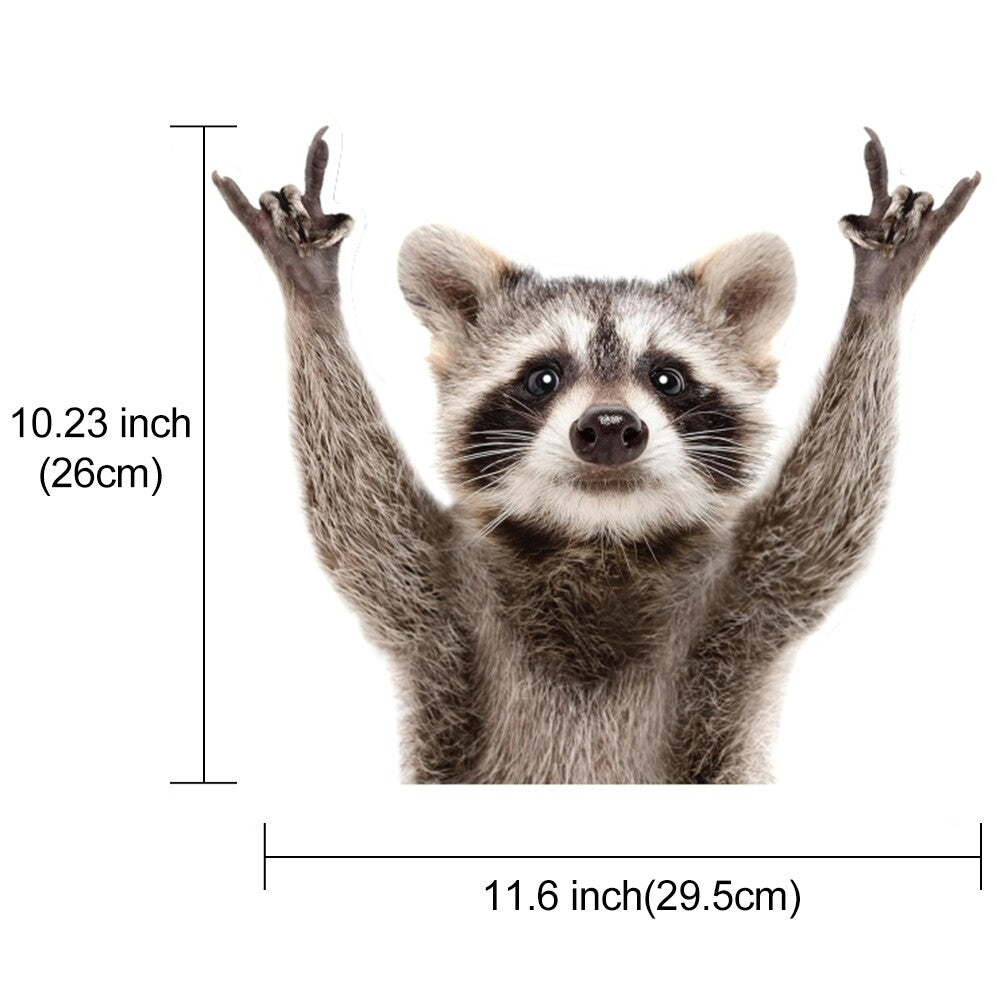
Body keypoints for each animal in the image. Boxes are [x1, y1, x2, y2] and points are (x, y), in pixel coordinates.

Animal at [214, 127, 978, 783]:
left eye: (667, 378)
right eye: (543, 377)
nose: (610, 427)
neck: (599, 539)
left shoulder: (747, 596)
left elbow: (827, 513)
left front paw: (876, 295)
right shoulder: (439, 598)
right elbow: (359, 515)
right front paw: (312, 296)